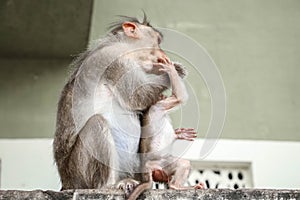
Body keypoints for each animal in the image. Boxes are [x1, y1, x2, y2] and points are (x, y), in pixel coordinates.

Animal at [52, 15, 191, 195]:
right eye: (158, 41)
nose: (163, 53)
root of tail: (66, 183)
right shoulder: (113, 59)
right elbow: (137, 97)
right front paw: (174, 70)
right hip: (78, 174)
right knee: (96, 123)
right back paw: (108, 185)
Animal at [129, 61, 204, 199]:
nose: (162, 95)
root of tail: (145, 168)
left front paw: (180, 134)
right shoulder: (160, 106)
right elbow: (179, 97)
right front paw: (170, 69)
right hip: (160, 163)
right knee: (183, 163)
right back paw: (176, 186)